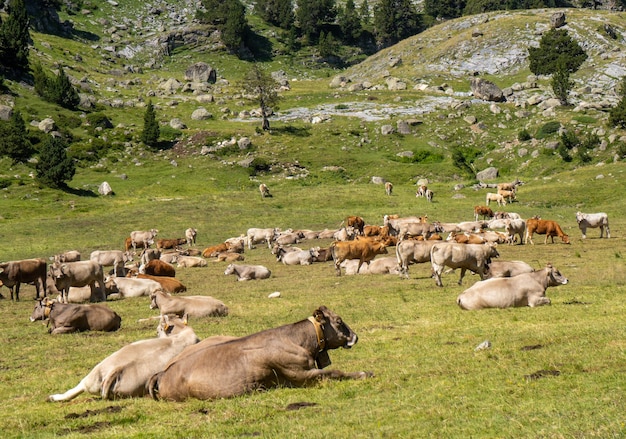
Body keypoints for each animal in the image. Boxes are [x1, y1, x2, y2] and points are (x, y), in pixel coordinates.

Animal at [146, 306, 370, 402]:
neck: (298, 340)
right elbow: (335, 372)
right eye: (339, 321)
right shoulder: (299, 374)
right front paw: (364, 373)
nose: (355, 336)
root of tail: (163, 372)